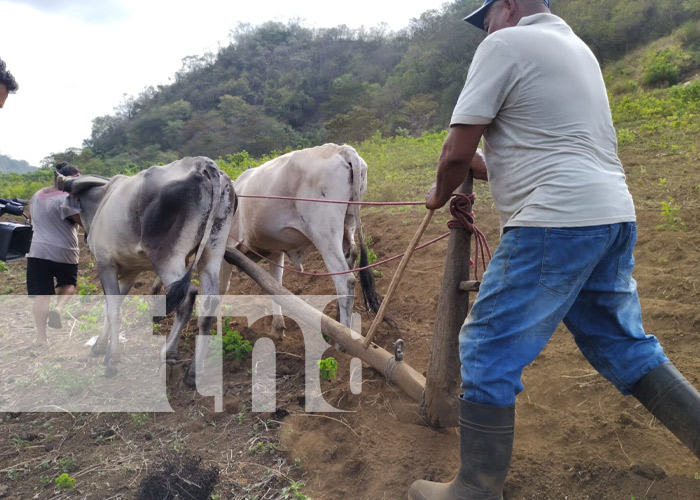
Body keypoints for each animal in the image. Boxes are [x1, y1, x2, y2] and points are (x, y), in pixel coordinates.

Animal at [221, 145, 380, 340]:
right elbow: (275, 286)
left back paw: (342, 337)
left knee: (345, 281)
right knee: (352, 257)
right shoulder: (275, 252)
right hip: (347, 225)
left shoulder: (226, 250)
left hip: (325, 234)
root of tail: (342, 149)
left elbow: (219, 290)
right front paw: (277, 327)